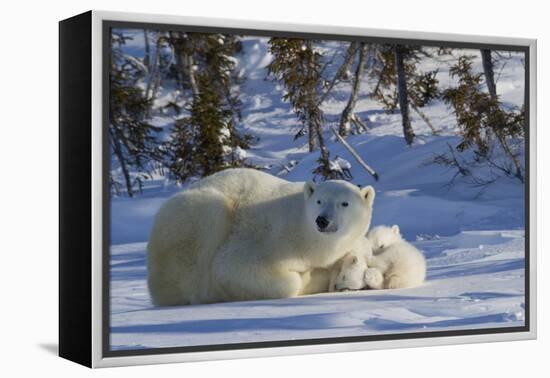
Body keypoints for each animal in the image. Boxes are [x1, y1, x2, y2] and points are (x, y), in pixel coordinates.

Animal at [149, 168, 378, 304]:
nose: (322, 220)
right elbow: (231, 267)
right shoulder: (271, 238)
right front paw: (309, 277)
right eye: (319, 201)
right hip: (196, 219)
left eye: (344, 203)